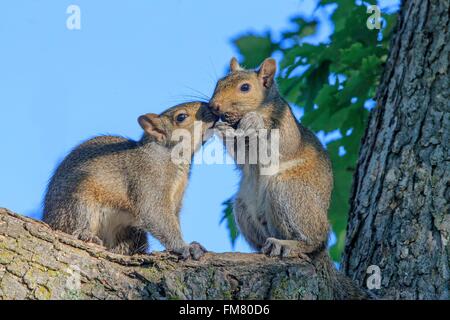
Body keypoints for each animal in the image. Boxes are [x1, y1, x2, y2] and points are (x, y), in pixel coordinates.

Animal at [43, 102, 216, 260]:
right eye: (181, 117)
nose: (210, 108)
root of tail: (49, 219)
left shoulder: (176, 201)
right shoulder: (148, 181)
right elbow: (154, 214)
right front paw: (183, 246)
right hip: (79, 201)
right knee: (76, 222)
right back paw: (85, 234)